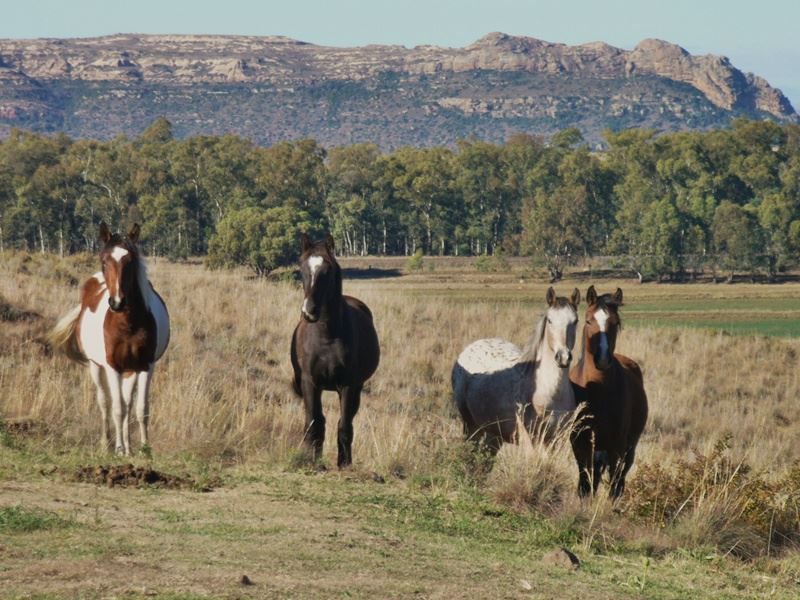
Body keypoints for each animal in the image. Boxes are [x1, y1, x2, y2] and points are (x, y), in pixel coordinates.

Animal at [47, 224, 170, 454]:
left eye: (130, 261)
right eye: (104, 260)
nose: (117, 302)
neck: (128, 325)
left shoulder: (146, 366)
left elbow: (141, 408)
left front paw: (144, 449)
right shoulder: (112, 366)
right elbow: (117, 409)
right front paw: (119, 449)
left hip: (130, 370)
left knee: (128, 403)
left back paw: (129, 447)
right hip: (95, 366)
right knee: (105, 402)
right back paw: (107, 443)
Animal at [290, 232, 382, 466]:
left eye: (327, 270)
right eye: (301, 268)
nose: (309, 311)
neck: (327, 337)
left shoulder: (349, 385)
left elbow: (344, 426)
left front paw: (344, 464)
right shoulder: (310, 382)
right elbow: (313, 422)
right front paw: (312, 459)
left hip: (356, 389)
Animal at [450, 288, 580, 452]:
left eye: (575, 321)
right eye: (550, 320)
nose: (563, 357)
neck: (549, 393)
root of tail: (468, 349)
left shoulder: (558, 440)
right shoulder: (531, 441)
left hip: (494, 434)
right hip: (471, 428)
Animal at [568, 286, 648, 496]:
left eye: (616, 322)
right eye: (588, 320)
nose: (602, 358)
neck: (599, 390)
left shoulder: (617, 448)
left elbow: (613, 487)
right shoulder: (580, 445)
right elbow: (585, 485)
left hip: (628, 449)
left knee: (618, 483)